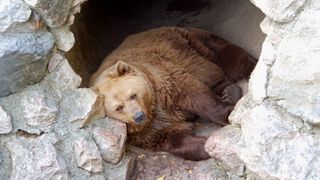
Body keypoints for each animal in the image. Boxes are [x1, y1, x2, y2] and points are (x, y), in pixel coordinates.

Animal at [89, 26, 256, 160]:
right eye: (119, 108)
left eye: (133, 95)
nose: (139, 116)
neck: (153, 108)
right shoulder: (146, 131)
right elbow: (172, 138)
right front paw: (204, 145)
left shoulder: (166, 81)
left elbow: (196, 96)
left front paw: (227, 115)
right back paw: (229, 92)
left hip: (191, 44)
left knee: (227, 56)